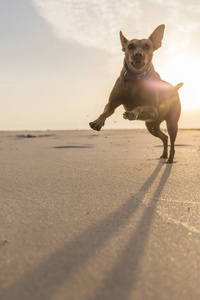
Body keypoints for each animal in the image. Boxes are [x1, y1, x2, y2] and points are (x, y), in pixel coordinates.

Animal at [89, 24, 183, 163]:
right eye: (130, 46)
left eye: (147, 46)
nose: (138, 54)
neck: (135, 78)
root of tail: (174, 88)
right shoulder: (112, 103)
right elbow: (105, 111)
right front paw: (98, 122)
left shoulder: (153, 109)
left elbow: (139, 106)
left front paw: (132, 113)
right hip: (152, 125)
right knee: (164, 137)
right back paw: (164, 155)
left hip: (171, 122)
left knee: (172, 140)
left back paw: (170, 159)